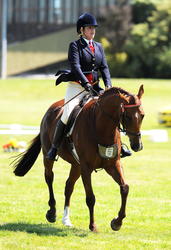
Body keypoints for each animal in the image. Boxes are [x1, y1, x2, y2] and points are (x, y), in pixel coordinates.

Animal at [12, 85, 145, 231]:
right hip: (49, 157)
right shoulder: (86, 168)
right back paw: (52, 213)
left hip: (76, 165)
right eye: (127, 116)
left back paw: (66, 220)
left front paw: (117, 222)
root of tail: (51, 109)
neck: (102, 128)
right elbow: (90, 198)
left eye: (143, 115)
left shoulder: (113, 165)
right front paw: (93, 226)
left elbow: (125, 188)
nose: (137, 145)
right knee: (49, 178)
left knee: (68, 186)